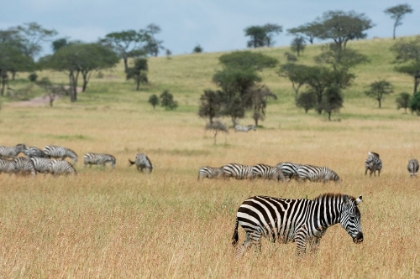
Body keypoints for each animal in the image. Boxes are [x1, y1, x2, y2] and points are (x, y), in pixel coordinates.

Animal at [231, 195, 362, 258]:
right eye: (352, 218)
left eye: (360, 218)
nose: (360, 238)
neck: (318, 215)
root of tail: (243, 203)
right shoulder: (300, 236)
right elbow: (301, 257)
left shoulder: (316, 239)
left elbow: (313, 257)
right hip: (254, 231)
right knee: (256, 253)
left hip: (250, 233)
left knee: (239, 251)